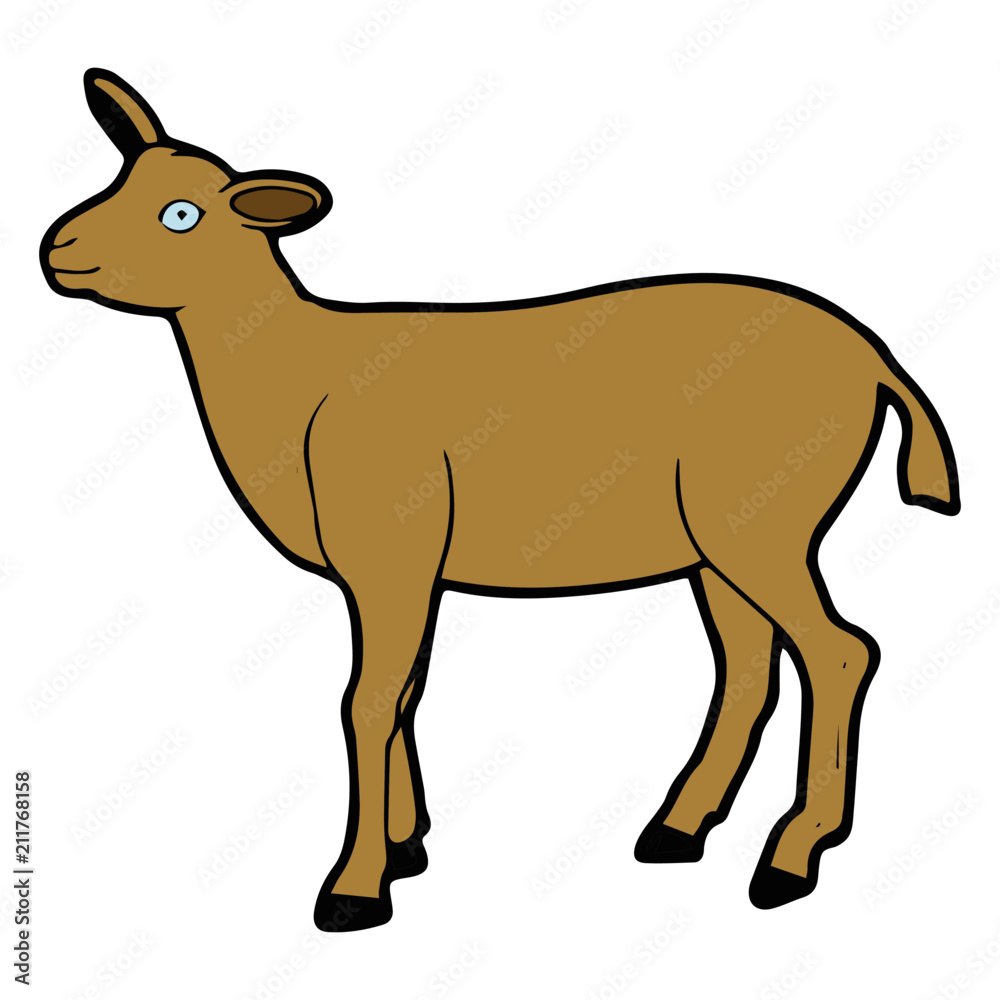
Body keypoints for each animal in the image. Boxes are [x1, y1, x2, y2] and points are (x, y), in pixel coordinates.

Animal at [40, 69, 960, 931]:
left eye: (182, 214)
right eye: (120, 180)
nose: (58, 249)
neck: (303, 379)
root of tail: (876, 358)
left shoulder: (390, 552)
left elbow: (366, 701)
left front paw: (354, 890)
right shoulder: (403, 569)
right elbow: (405, 692)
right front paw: (407, 847)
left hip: (765, 524)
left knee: (839, 653)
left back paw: (789, 860)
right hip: (721, 538)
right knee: (747, 665)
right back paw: (678, 829)